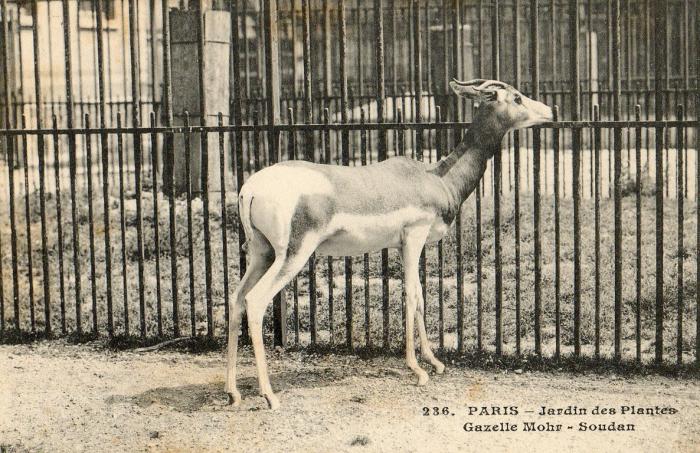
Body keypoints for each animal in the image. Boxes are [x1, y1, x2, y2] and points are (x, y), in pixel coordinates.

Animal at [226, 79, 553, 410]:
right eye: (517, 97)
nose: (550, 111)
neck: (438, 178)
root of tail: (250, 188)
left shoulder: (402, 245)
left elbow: (420, 295)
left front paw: (435, 362)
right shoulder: (414, 236)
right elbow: (411, 295)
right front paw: (418, 371)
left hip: (262, 253)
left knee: (237, 298)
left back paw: (233, 392)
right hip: (292, 255)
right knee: (255, 301)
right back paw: (269, 395)